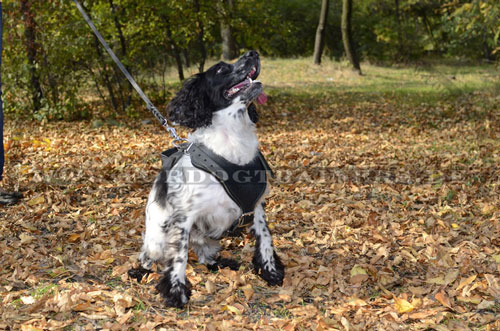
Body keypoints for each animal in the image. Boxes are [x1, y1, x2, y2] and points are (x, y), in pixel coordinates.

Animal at [129, 50, 284, 308]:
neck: (233, 140)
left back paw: (218, 263)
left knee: (204, 254)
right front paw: (176, 292)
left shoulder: (257, 207)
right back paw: (141, 271)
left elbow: (265, 239)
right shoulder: (183, 217)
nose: (252, 53)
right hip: (156, 236)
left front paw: (270, 270)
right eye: (221, 69)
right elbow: (179, 256)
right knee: (149, 256)